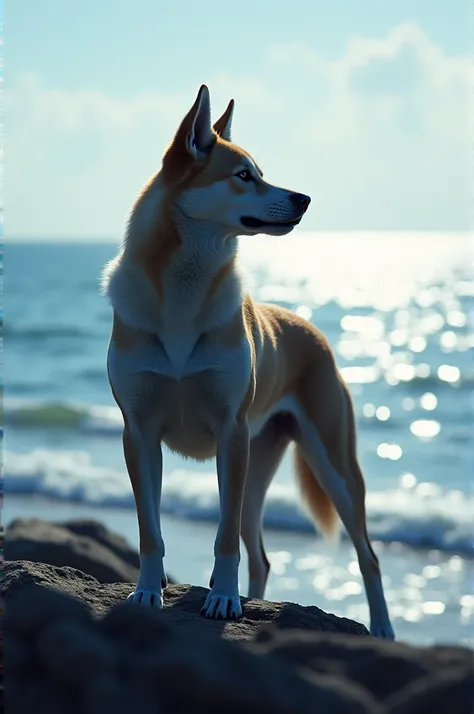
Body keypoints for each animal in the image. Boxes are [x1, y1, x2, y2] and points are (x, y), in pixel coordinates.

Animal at [102, 85, 394, 640]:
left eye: (261, 171)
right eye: (243, 175)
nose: (304, 198)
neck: (183, 293)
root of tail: (314, 332)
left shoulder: (229, 431)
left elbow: (222, 539)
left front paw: (221, 600)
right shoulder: (139, 434)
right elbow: (150, 530)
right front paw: (148, 592)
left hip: (330, 466)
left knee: (367, 557)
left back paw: (384, 632)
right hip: (258, 465)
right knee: (261, 556)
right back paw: (258, 600)